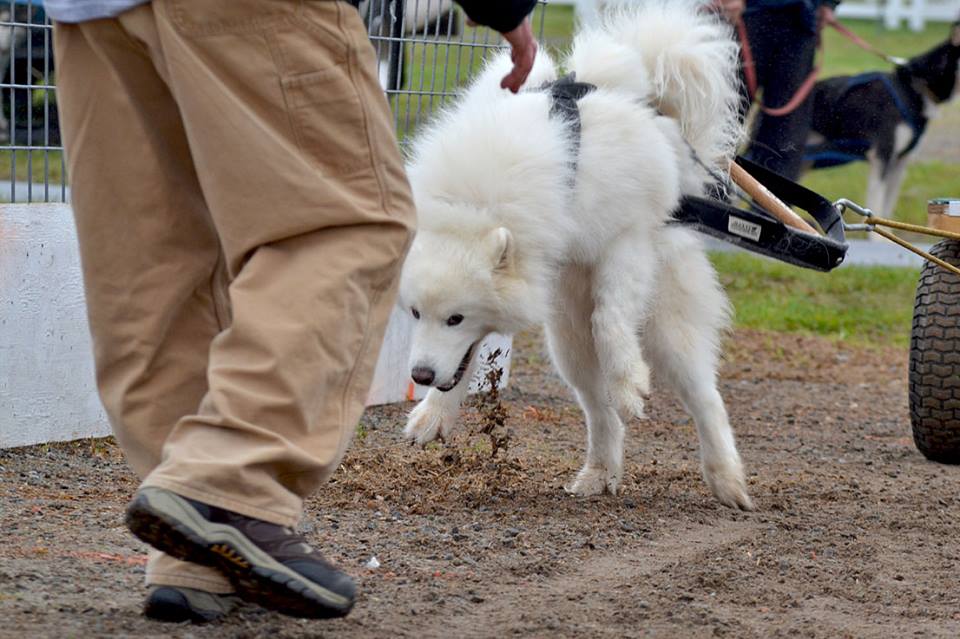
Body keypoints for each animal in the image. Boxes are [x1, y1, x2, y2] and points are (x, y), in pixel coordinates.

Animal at [396, 0, 752, 510]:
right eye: (415, 313)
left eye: (455, 318)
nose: (420, 375)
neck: (475, 205)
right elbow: (465, 363)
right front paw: (433, 415)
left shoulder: (626, 241)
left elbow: (611, 318)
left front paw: (630, 382)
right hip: (568, 342)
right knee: (600, 410)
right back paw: (600, 474)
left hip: (666, 329)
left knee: (705, 398)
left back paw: (726, 479)